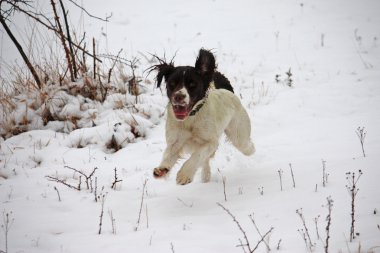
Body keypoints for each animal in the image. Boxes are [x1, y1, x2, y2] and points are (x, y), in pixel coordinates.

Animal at [151, 49, 255, 184]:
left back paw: (252, 149)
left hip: (239, 134)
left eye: (192, 85)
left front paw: (184, 174)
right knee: (205, 163)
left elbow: (197, 155)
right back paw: (205, 178)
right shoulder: (175, 141)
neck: (191, 118)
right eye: (172, 83)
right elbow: (169, 155)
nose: (178, 96)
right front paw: (162, 169)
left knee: (246, 146)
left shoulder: (211, 142)